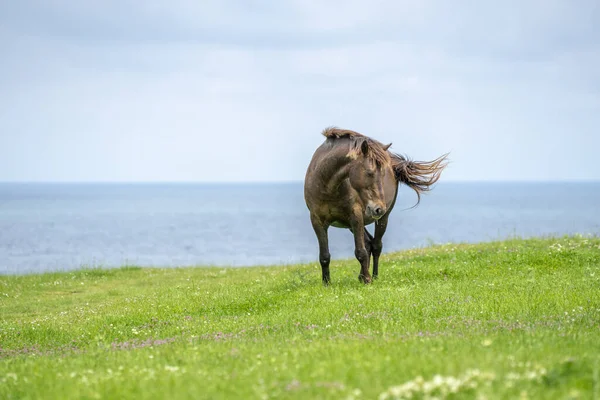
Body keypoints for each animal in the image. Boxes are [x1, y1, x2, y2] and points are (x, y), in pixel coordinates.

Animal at [302, 127, 448, 284]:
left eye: (383, 173)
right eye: (369, 172)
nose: (378, 208)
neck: (327, 186)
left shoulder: (355, 217)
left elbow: (360, 252)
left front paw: (368, 280)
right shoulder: (317, 220)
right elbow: (324, 256)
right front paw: (327, 283)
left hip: (382, 219)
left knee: (376, 246)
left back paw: (374, 276)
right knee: (368, 243)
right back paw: (361, 276)